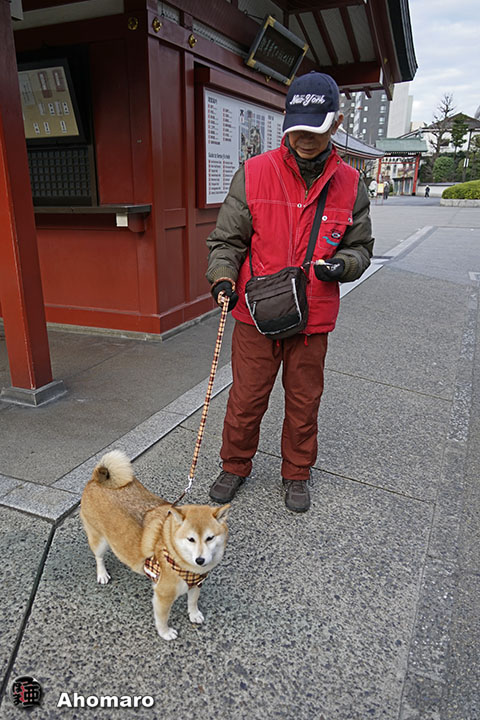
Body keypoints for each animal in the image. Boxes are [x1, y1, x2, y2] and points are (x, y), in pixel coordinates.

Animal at [80, 450, 230, 641]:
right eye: (191, 539)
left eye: (210, 538)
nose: (200, 560)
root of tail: (96, 479)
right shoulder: (163, 595)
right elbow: (162, 617)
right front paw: (165, 633)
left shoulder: (197, 584)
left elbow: (193, 600)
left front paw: (194, 614)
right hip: (99, 539)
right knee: (98, 557)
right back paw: (102, 574)